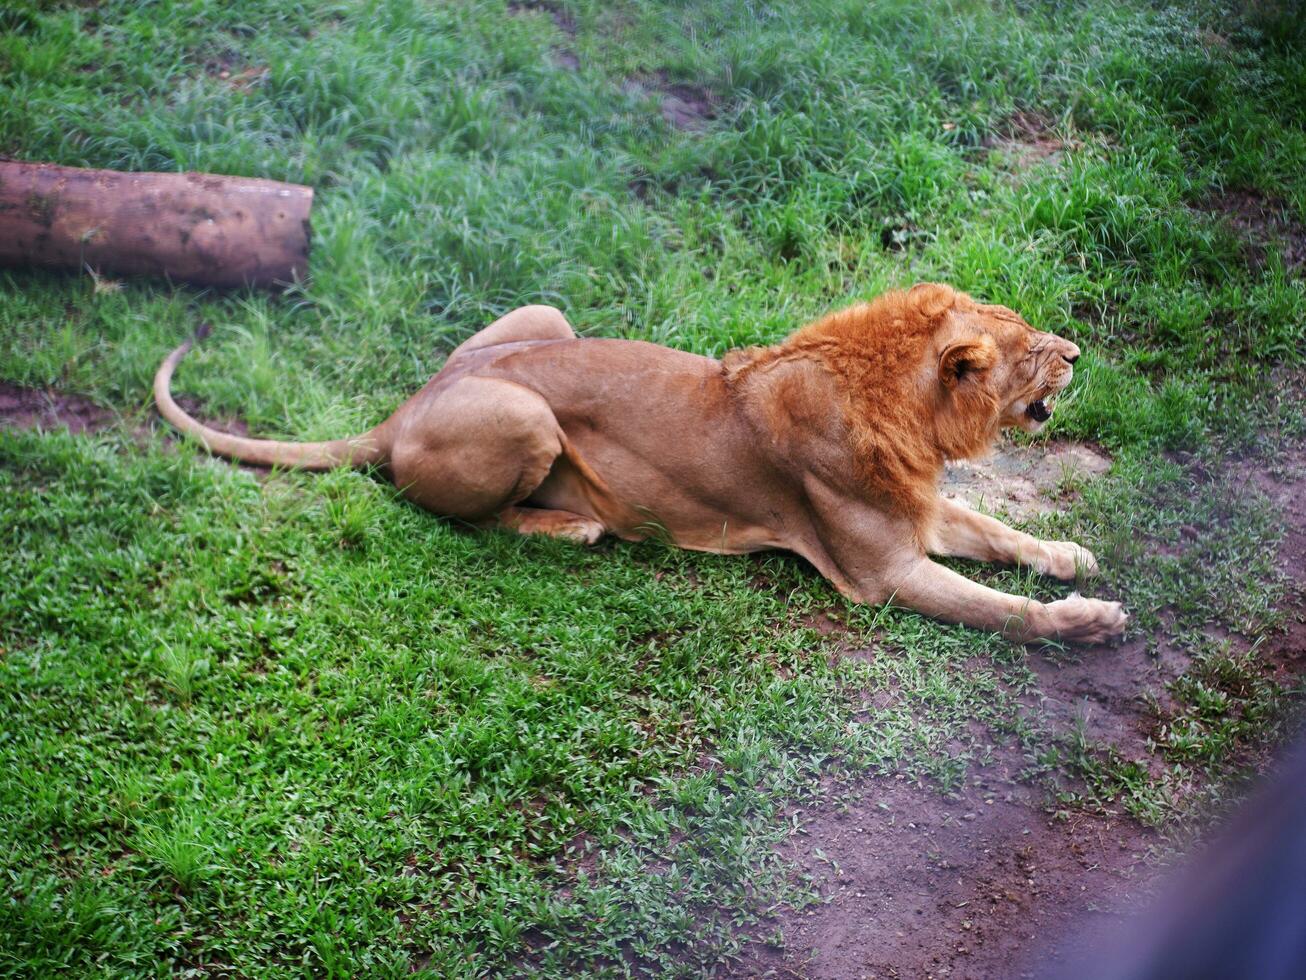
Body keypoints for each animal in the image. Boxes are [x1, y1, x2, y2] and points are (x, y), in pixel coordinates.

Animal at [158, 283, 1128, 648]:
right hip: (523, 415)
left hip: (543, 319)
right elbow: (1002, 610)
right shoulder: (881, 573)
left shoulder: (920, 512)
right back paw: (573, 525)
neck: (912, 420)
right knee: (453, 512)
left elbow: (1002, 532)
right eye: (1032, 352)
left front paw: (1072, 559)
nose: (1079, 352)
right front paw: (1088, 621)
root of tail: (405, 408)